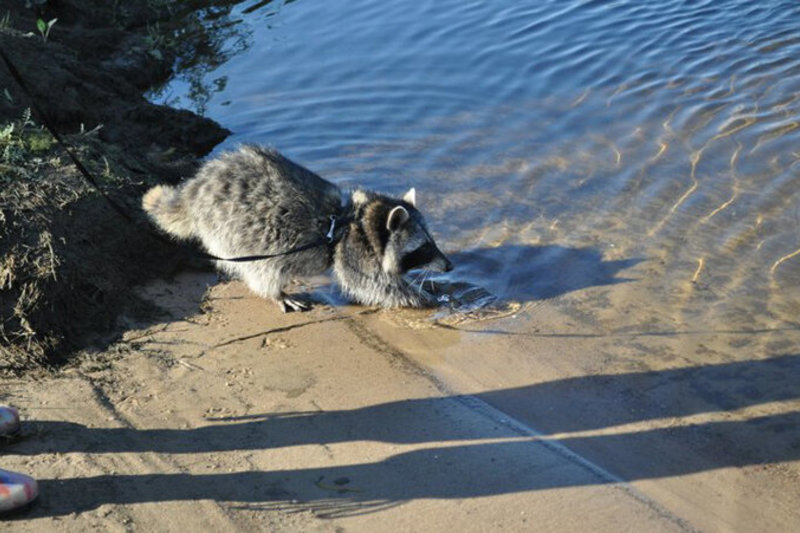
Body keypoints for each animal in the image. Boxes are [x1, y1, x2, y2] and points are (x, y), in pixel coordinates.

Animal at [141, 145, 454, 312]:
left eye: (432, 241)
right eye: (423, 247)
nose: (450, 266)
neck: (362, 222)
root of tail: (196, 188)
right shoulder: (353, 253)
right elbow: (376, 286)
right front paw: (423, 298)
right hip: (229, 230)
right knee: (262, 269)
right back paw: (275, 292)